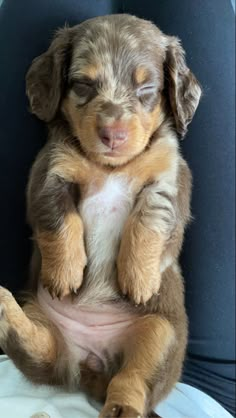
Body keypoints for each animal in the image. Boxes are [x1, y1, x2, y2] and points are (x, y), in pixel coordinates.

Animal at [0, 13, 201, 418]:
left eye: (147, 89)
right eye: (82, 84)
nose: (113, 134)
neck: (110, 167)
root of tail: (93, 364)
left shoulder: (170, 178)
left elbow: (149, 217)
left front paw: (138, 278)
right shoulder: (49, 173)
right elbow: (60, 219)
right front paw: (65, 271)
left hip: (162, 334)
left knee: (133, 378)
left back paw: (122, 406)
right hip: (40, 315)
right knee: (43, 352)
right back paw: (4, 309)